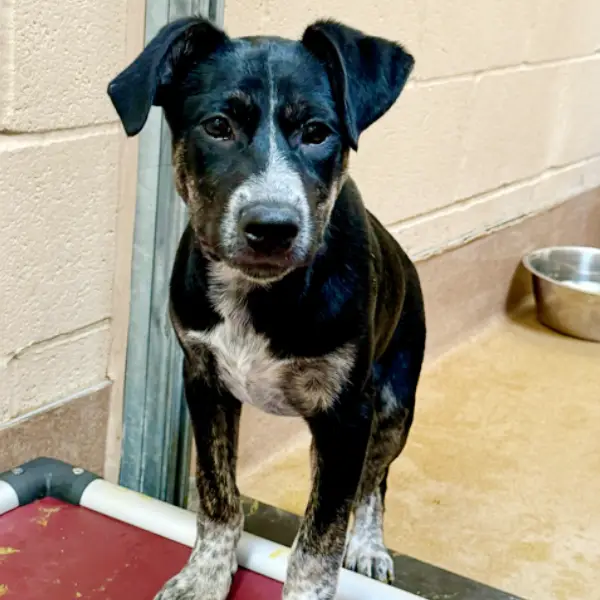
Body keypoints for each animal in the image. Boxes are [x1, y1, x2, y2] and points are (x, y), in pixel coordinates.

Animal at [108, 14, 426, 600]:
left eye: (318, 132)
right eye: (217, 126)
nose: (273, 228)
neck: (259, 295)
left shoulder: (348, 415)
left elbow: (320, 537)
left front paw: (307, 590)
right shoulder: (204, 382)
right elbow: (217, 494)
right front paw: (204, 577)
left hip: (395, 400)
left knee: (374, 481)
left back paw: (369, 547)